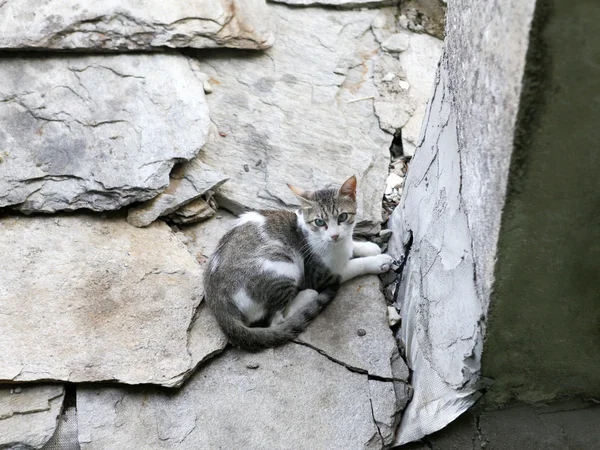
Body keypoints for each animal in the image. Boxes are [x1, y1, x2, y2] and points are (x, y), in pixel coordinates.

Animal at [204, 176, 396, 352]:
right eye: (320, 222)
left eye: (342, 217)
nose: (334, 235)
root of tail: (220, 306)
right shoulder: (320, 275)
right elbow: (351, 267)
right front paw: (378, 260)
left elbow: (352, 245)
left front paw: (368, 247)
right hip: (283, 267)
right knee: (276, 320)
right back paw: (308, 295)